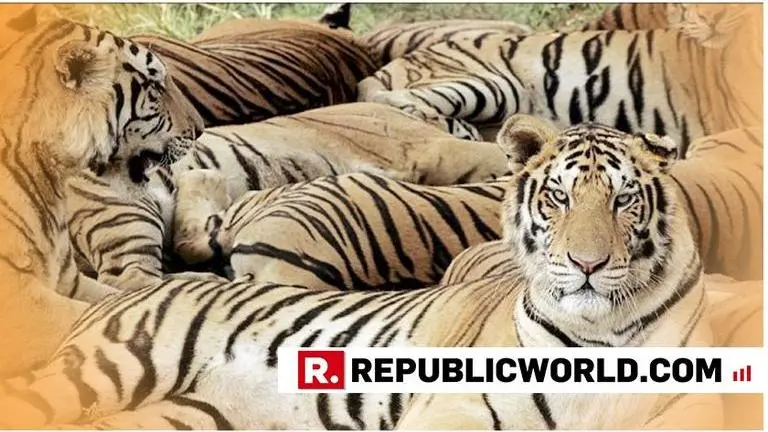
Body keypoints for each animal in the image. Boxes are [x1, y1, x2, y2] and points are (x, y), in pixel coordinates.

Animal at [0, 19, 204, 376]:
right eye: (155, 88)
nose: (201, 129)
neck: (48, 179)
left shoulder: (71, 280)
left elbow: (118, 300)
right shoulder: (20, 302)